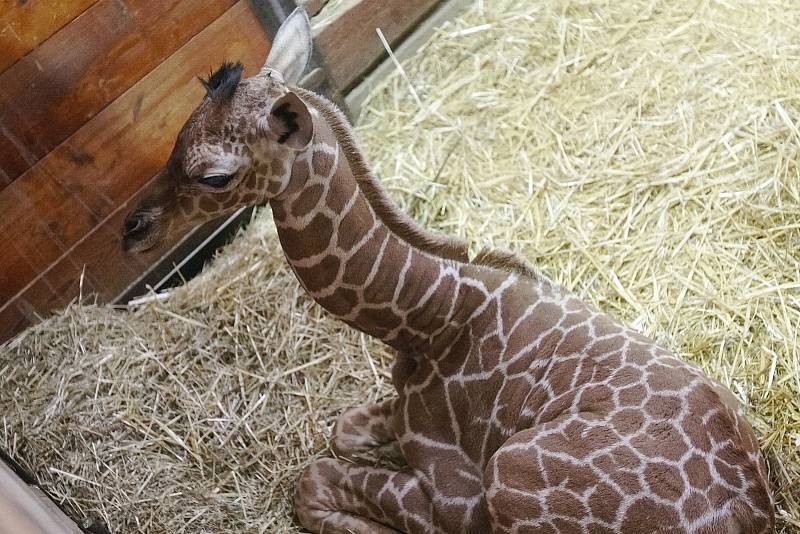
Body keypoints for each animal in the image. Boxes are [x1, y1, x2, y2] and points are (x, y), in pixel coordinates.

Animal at [125, 9, 776, 534]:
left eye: (214, 175)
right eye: (177, 135)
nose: (131, 230)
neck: (424, 320)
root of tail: (753, 513)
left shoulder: (462, 500)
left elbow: (314, 481)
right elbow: (342, 431)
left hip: (511, 472)